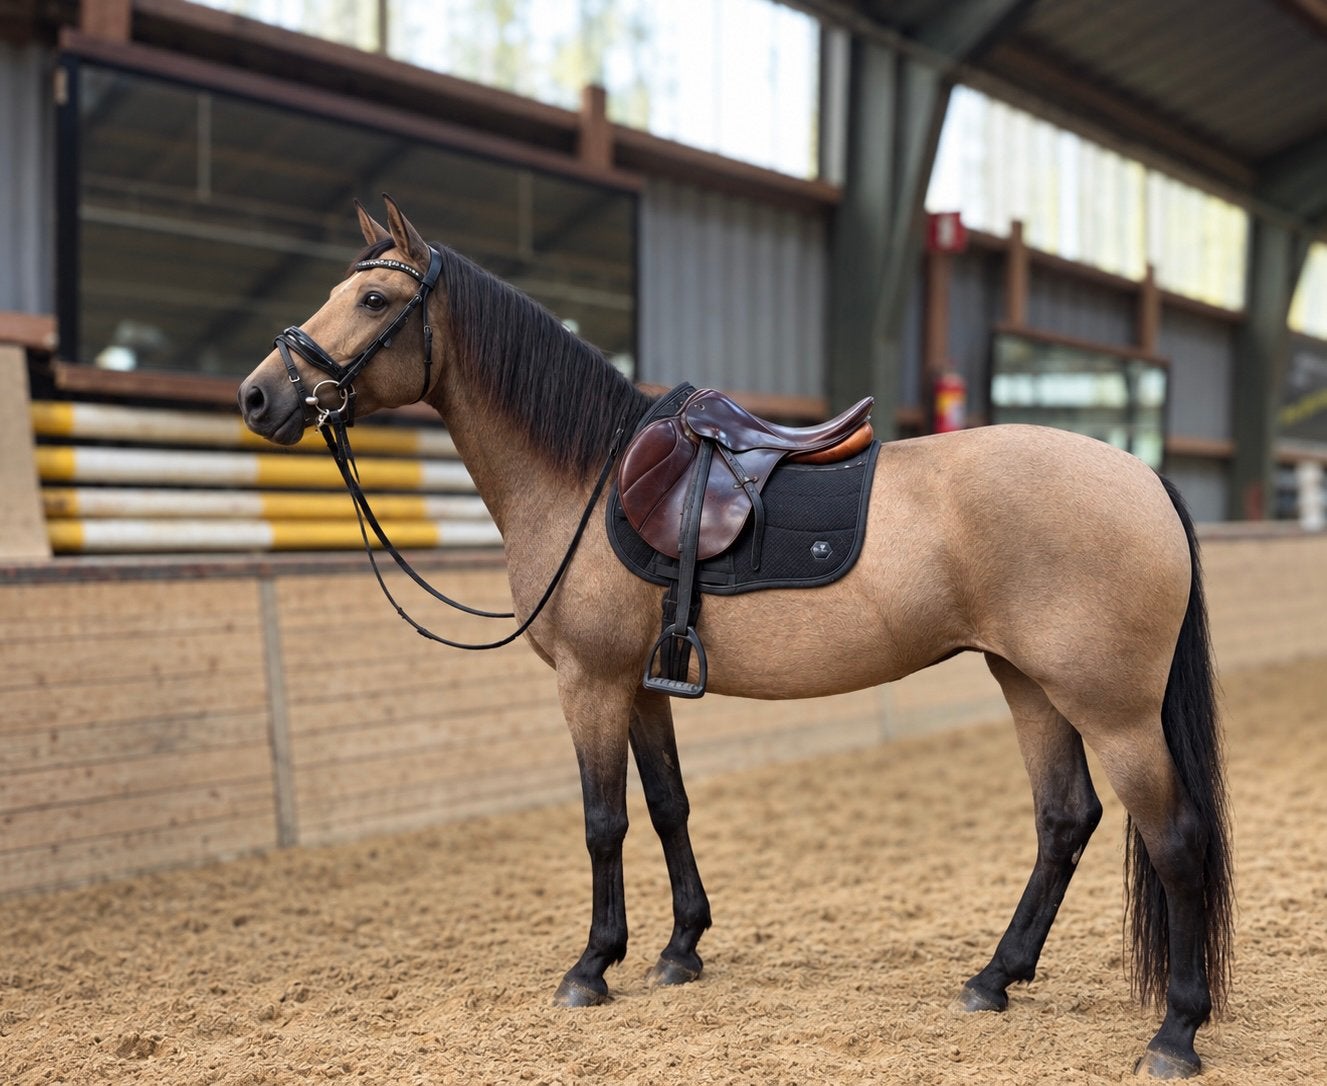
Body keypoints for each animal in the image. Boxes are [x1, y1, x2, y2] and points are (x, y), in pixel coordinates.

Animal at [238, 197, 1232, 1079]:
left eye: (374, 300)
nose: (258, 395)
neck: (584, 474)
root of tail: (1140, 476)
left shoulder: (589, 683)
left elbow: (603, 822)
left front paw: (591, 966)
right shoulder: (639, 687)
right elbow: (668, 806)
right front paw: (680, 949)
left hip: (1112, 710)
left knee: (1175, 839)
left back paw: (1174, 1034)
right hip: (1027, 684)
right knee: (1064, 821)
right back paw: (993, 979)